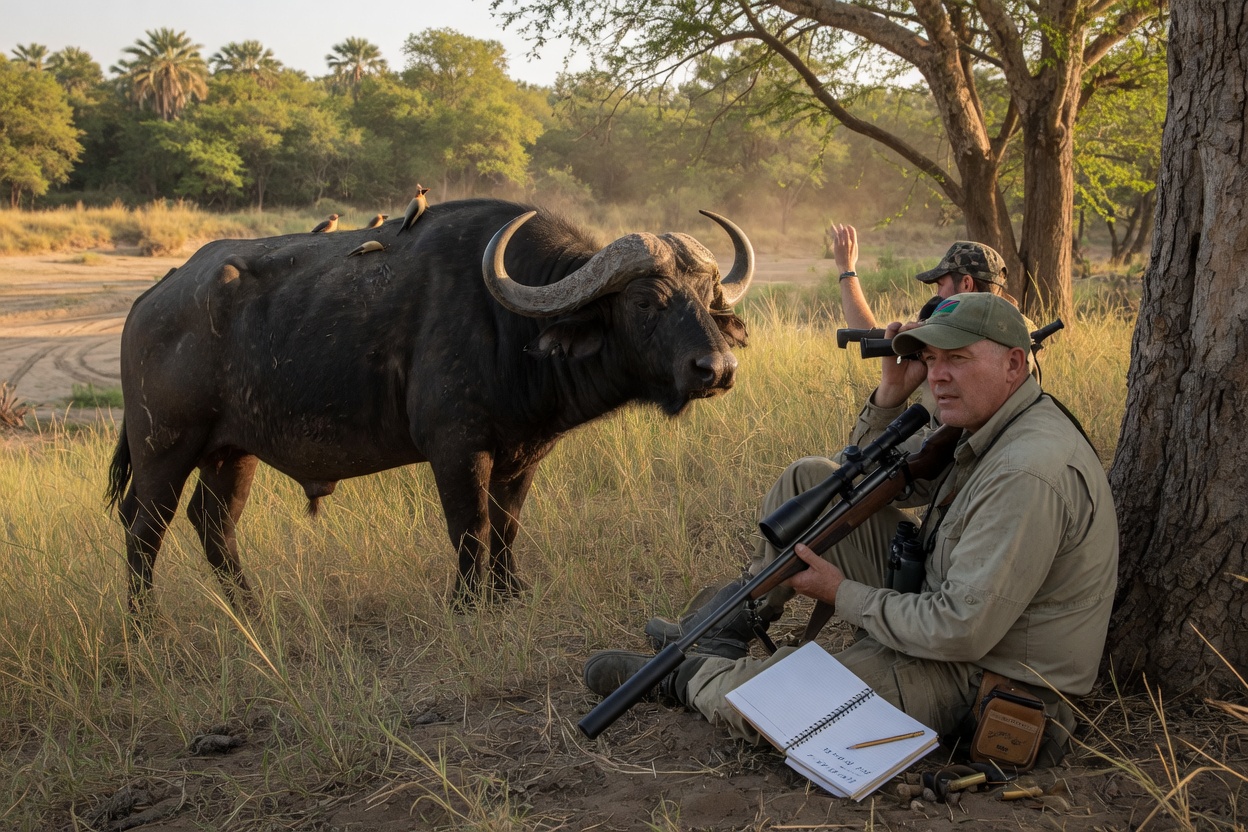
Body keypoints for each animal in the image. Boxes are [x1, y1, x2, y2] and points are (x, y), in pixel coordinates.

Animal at [106, 198, 754, 613]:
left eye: (707, 297)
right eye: (646, 302)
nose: (717, 370)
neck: (509, 327)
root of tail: (150, 299)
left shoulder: (524, 454)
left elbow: (508, 525)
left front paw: (510, 593)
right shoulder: (455, 449)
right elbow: (470, 527)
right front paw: (468, 604)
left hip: (232, 452)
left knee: (214, 524)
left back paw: (250, 610)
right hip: (164, 450)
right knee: (144, 530)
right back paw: (145, 626)